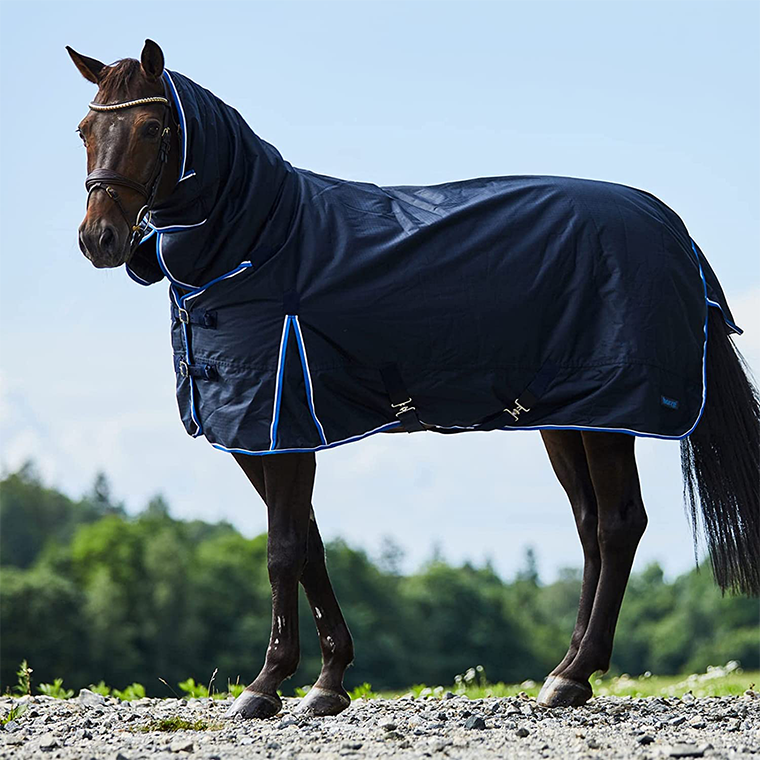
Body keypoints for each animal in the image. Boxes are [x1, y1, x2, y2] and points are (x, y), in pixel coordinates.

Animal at [68, 40, 759, 719]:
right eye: (84, 129)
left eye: (152, 126)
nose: (100, 239)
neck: (260, 242)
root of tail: (670, 228)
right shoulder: (259, 436)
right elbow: (309, 543)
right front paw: (328, 681)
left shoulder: (279, 422)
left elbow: (282, 548)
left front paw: (266, 685)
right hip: (567, 416)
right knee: (591, 528)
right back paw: (565, 670)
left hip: (610, 417)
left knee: (618, 525)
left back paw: (574, 676)